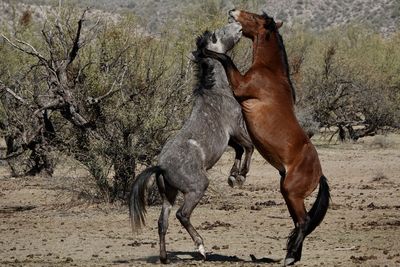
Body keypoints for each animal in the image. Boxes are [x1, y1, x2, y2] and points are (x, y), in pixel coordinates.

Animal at [129, 22, 253, 264]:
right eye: (221, 32)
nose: (238, 25)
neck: (216, 91)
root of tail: (161, 166)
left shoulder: (230, 139)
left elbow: (239, 150)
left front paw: (233, 176)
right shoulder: (236, 128)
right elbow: (249, 146)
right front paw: (241, 176)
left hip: (169, 195)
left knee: (162, 222)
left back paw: (165, 257)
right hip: (196, 188)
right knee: (182, 215)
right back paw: (201, 247)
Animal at [205, 9, 330, 266]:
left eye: (254, 17)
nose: (233, 11)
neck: (270, 72)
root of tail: (319, 174)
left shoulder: (240, 86)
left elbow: (226, 60)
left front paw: (206, 50)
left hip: (291, 192)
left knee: (303, 222)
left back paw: (290, 257)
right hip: (289, 194)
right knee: (300, 222)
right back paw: (292, 255)